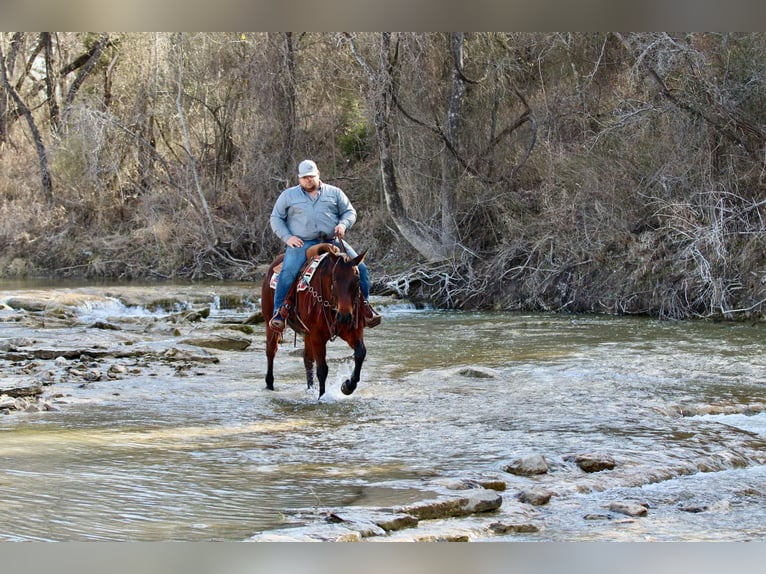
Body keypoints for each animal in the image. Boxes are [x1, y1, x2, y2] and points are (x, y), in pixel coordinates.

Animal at [262, 243, 370, 400]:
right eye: (334, 279)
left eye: (356, 281)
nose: (344, 316)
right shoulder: (317, 336)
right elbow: (322, 369)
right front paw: (322, 397)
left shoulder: (353, 329)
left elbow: (360, 353)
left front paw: (347, 386)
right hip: (270, 323)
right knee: (271, 351)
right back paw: (269, 385)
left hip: (307, 334)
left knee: (307, 360)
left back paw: (310, 389)